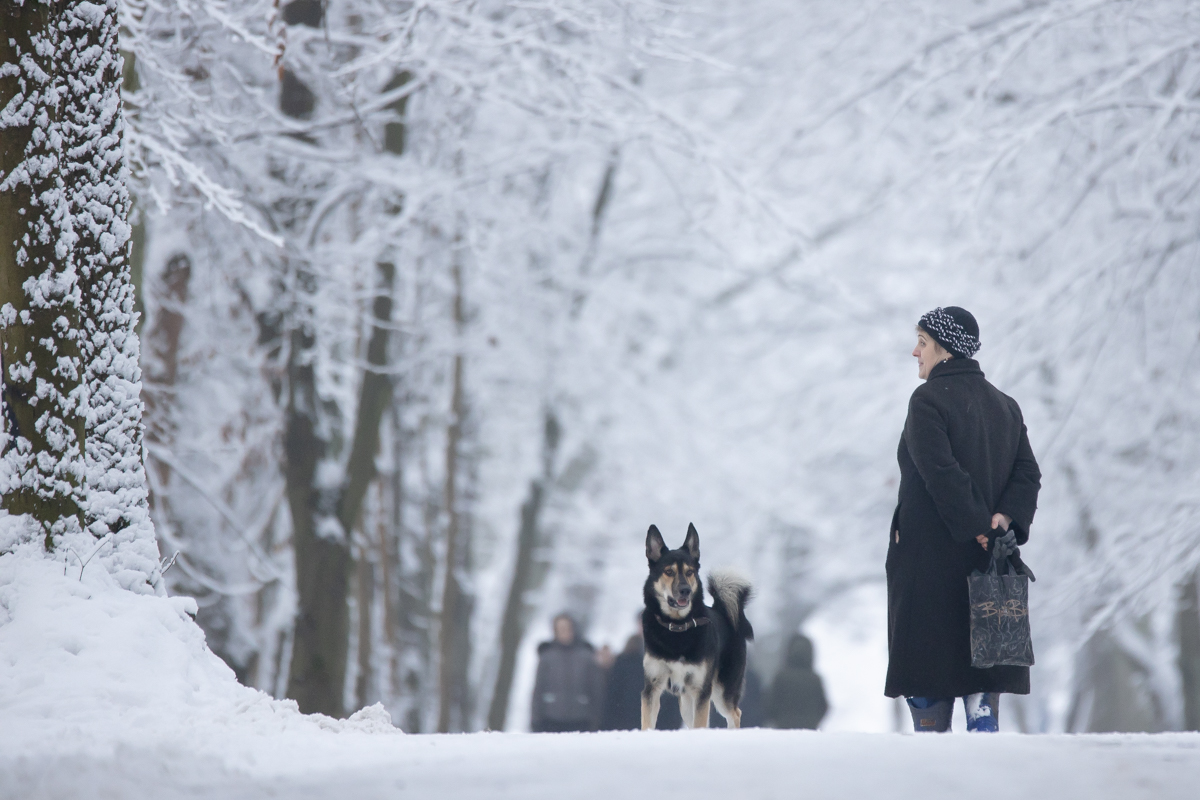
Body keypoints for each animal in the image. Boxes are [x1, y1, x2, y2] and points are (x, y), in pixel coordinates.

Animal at [643, 522, 753, 729]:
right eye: (668, 572)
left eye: (689, 572)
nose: (685, 590)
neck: (677, 626)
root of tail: (723, 612)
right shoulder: (652, 685)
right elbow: (647, 724)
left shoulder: (701, 689)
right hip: (687, 702)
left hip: (721, 690)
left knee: (735, 714)